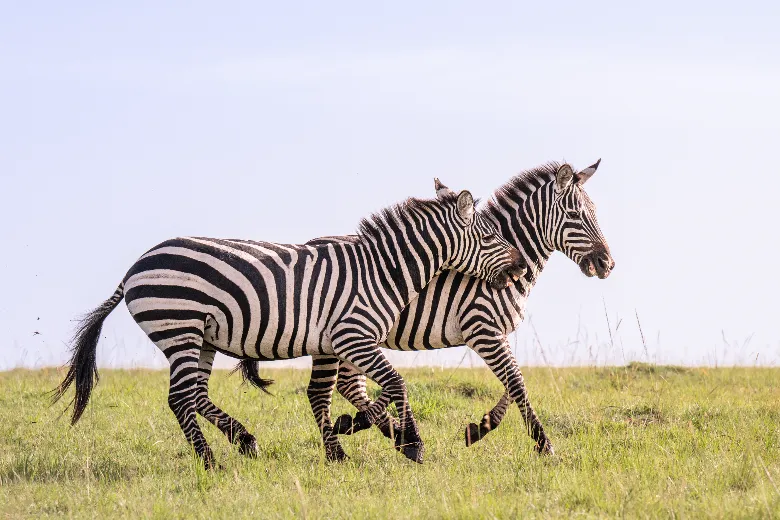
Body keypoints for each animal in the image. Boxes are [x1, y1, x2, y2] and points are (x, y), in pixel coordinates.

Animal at [53, 182, 526, 468]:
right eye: (489, 237)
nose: (520, 266)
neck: (382, 271)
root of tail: (135, 267)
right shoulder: (352, 337)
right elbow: (395, 384)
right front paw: (410, 442)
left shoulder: (343, 342)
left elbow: (361, 392)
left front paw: (375, 436)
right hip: (179, 328)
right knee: (180, 399)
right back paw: (210, 461)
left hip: (200, 336)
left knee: (195, 395)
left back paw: (243, 440)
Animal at [239, 160, 614, 457]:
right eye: (575, 215)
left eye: (596, 214)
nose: (607, 265)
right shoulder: (482, 329)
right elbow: (517, 383)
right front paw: (542, 444)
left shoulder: (495, 333)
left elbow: (512, 385)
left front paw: (479, 428)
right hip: (339, 338)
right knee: (332, 388)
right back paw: (372, 431)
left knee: (348, 386)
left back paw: (377, 428)